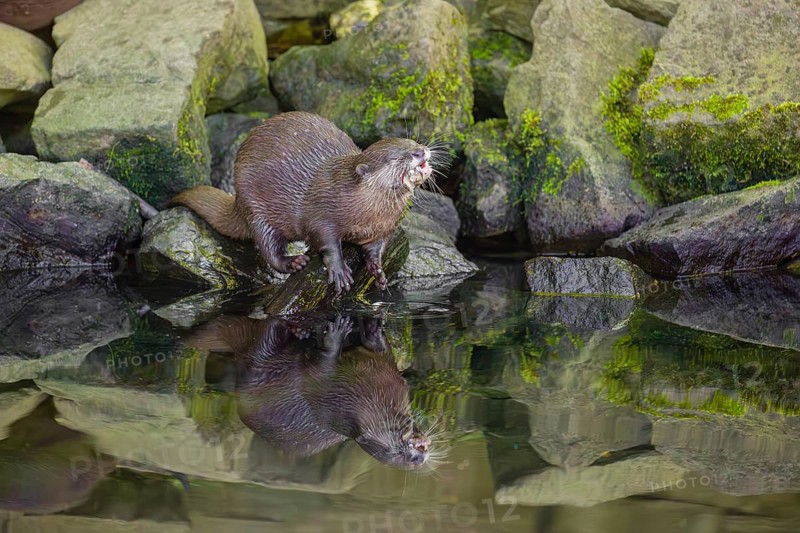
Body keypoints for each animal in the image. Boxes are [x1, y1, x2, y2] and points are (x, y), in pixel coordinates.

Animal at [171, 112, 437, 293]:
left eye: (412, 142)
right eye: (394, 157)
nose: (420, 151)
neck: (366, 212)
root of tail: (236, 199)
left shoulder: (383, 228)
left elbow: (376, 248)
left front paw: (377, 270)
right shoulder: (321, 212)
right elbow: (326, 241)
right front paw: (338, 269)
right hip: (255, 208)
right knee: (269, 248)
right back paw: (294, 262)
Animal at [186, 313, 432, 469]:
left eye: (403, 457)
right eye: (394, 453)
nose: (419, 458)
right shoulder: (329, 386)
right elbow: (327, 362)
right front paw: (348, 333)